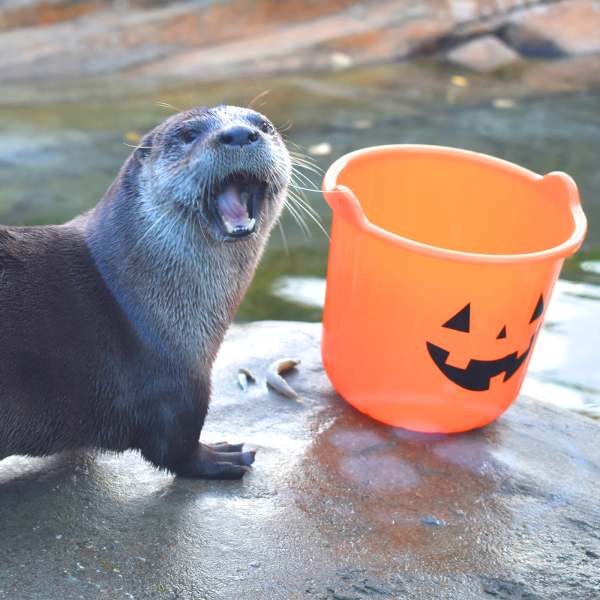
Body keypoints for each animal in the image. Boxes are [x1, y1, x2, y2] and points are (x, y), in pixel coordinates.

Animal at [0, 105, 292, 480]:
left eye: (265, 126)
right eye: (188, 134)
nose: (240, 134)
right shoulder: (174, 386)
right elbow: (174, 448)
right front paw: (220, 455)